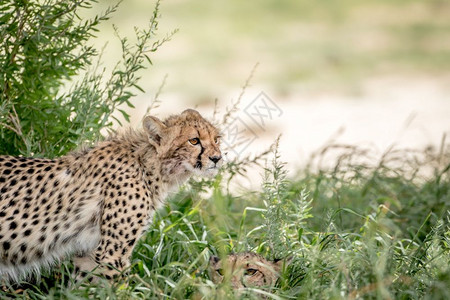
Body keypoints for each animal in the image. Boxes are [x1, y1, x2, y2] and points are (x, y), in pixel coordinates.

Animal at [0, 109, 221, 282]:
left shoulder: (88, 253)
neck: (148, 165)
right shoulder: (111, 254)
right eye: (194, 140)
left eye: (216, 139)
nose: (217, 158)